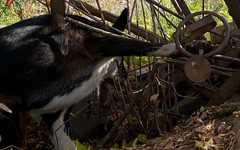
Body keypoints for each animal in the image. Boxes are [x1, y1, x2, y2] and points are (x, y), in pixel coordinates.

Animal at [0, 6, 178, 150]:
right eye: (120, 62)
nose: (125, 76)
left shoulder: (56, 117)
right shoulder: (99, 42)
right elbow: (139, 44)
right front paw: (174, 47)